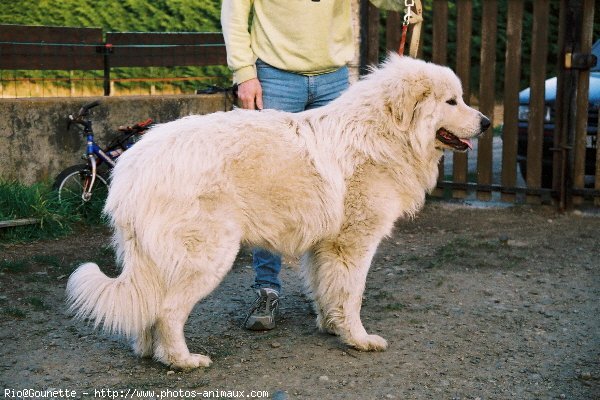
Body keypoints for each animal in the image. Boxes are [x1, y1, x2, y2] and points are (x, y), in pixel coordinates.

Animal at [65, 54, 490, 370]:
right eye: (452, 102)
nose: (487, 123)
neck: (384, 132)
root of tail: (132, 166)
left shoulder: (324, 246)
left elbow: (327, 291)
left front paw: (332, 328)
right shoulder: (353, 245)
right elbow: (352, 295)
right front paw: (358, 339)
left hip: (149, 258)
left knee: (147, 308)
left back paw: (148, 351)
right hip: (207, 256)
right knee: (168, 311)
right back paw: (182, 360)